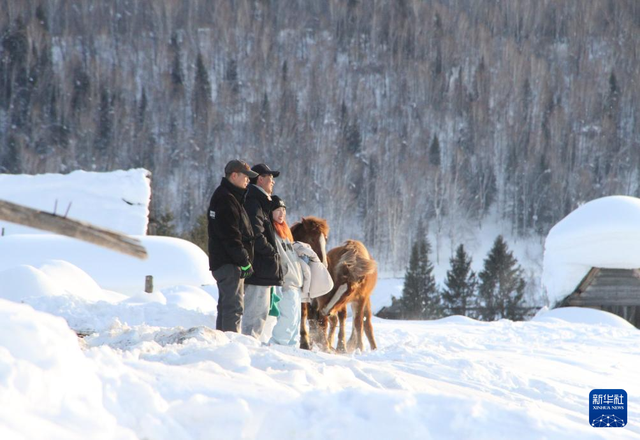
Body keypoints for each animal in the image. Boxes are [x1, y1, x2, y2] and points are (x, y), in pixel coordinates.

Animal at [292, 217, 378, 354]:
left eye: (348, 292)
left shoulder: (361, 298)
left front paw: (358, 347)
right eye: (312, 239)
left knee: (363, 322)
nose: (324, 263)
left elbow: (359, 322)